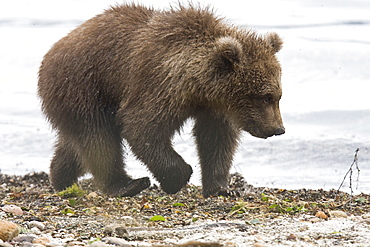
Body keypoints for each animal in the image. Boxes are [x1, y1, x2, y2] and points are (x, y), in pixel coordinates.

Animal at [37, 2, 284, 198]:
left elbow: (216, 140)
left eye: (278, 95)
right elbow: (142, 127)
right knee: (99, 137)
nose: (277, 129)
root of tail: (51, 53)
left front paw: (223, 187)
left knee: (78, 142)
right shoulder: (159, 84)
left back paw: (60, 177)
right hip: (85, 85)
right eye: (264, 97)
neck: (198, 85)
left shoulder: (214, 107)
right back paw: (128, 185)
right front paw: (179, 176)